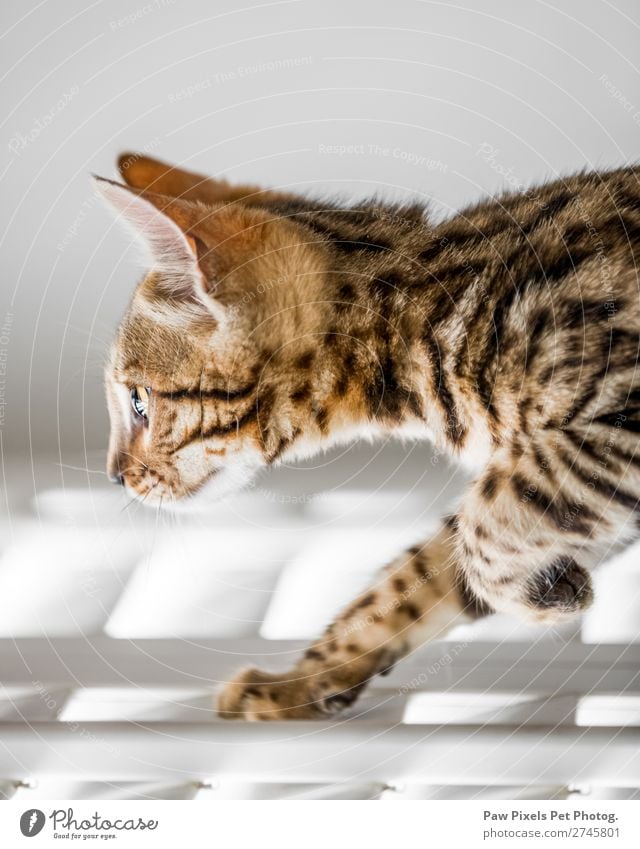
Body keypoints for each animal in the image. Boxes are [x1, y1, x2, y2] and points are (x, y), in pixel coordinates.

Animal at [95, 151, 640, 716]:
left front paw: (542, 593)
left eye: (139, 402)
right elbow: (416, 576)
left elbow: (485, 525)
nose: (114, 476)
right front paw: (300, 681)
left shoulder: (613, 422)